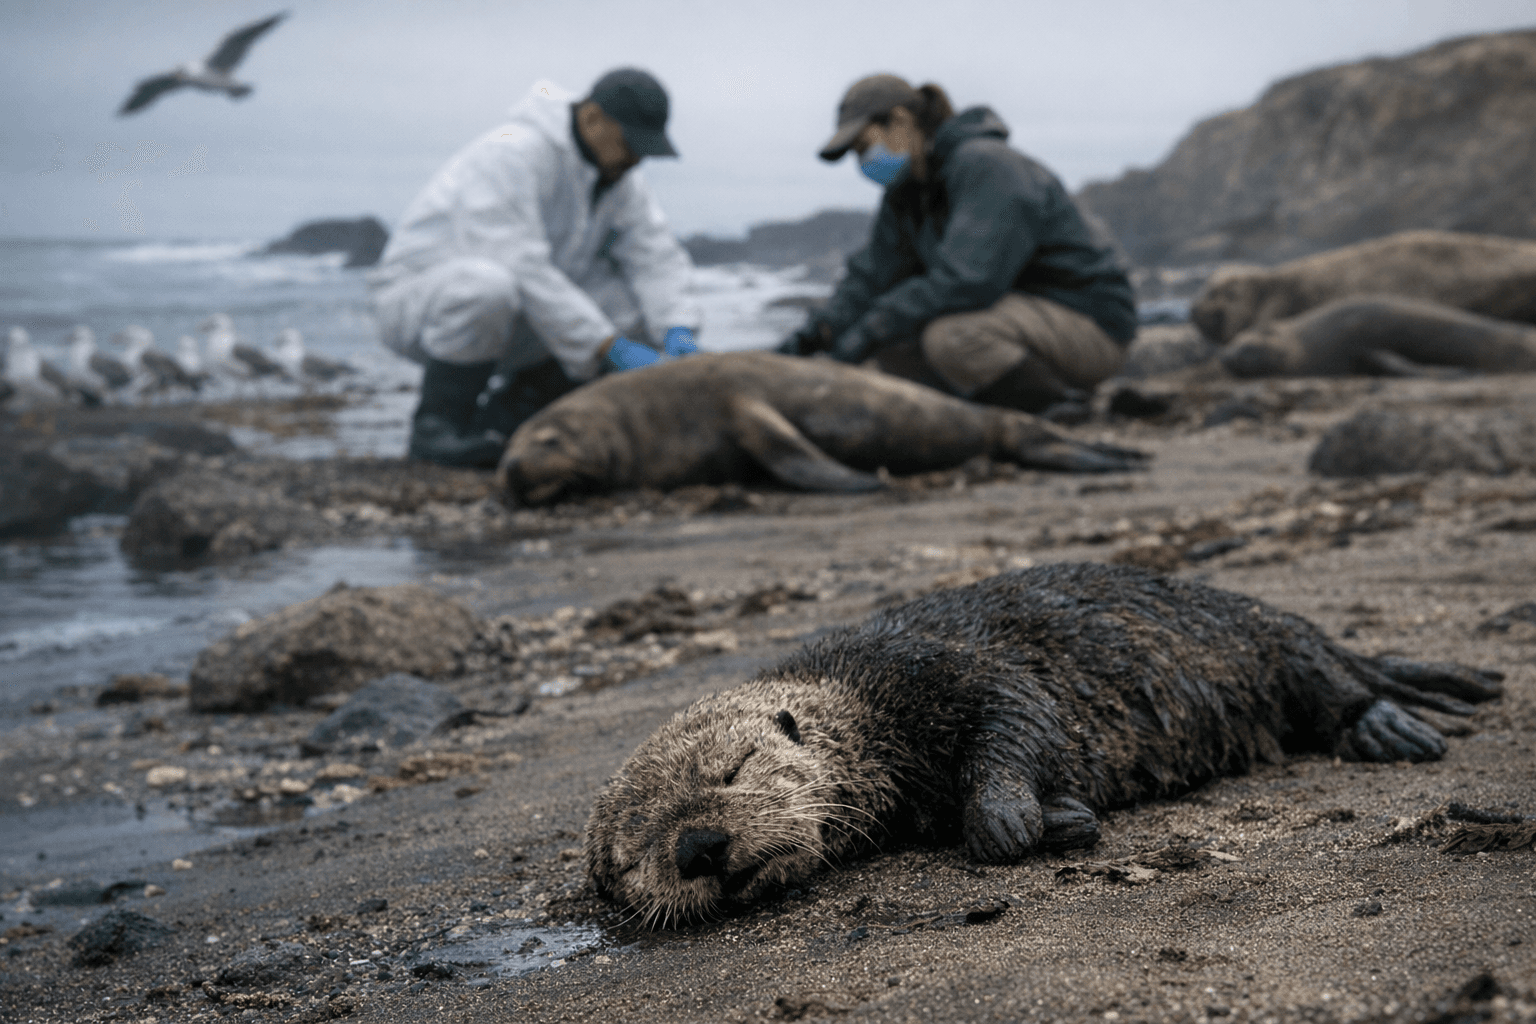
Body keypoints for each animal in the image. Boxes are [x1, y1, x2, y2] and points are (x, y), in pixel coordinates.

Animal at [586, 562, 1502, 927]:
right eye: (632, 855)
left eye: (732, 770)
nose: (699, 844)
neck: (864, 707)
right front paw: (1062, 820)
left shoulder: (941, 670)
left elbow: (1015, 720)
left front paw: (1007, 821)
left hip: (1266, 634)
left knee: (1325, 670)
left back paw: (1386, 723)